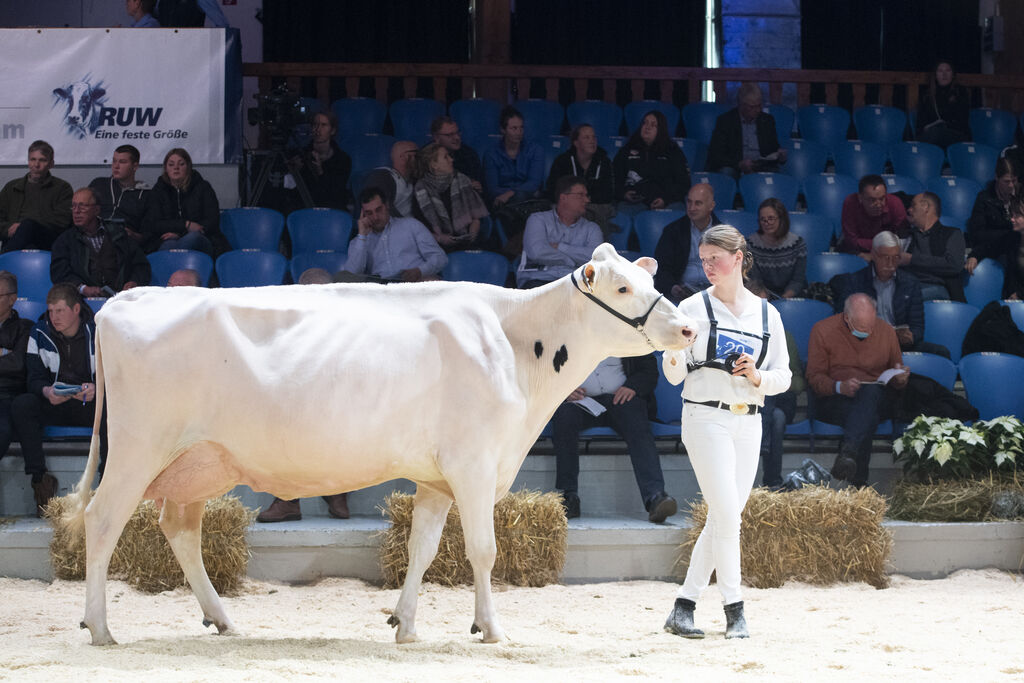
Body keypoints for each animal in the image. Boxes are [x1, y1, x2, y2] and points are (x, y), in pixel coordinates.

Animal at [62, 244, 696, 646]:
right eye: (623, 287)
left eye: (653, 282)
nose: (689, 329)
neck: (515, 347)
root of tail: (124, 299)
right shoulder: (473, 463)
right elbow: (483, 551)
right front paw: (491, 628)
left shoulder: (437, 477)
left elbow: (423, 548)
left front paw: (405, 624)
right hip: (139, 448)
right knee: (103, 519)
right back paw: (100, 627)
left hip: (200, 462)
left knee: (179, 529)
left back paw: (222, 620)